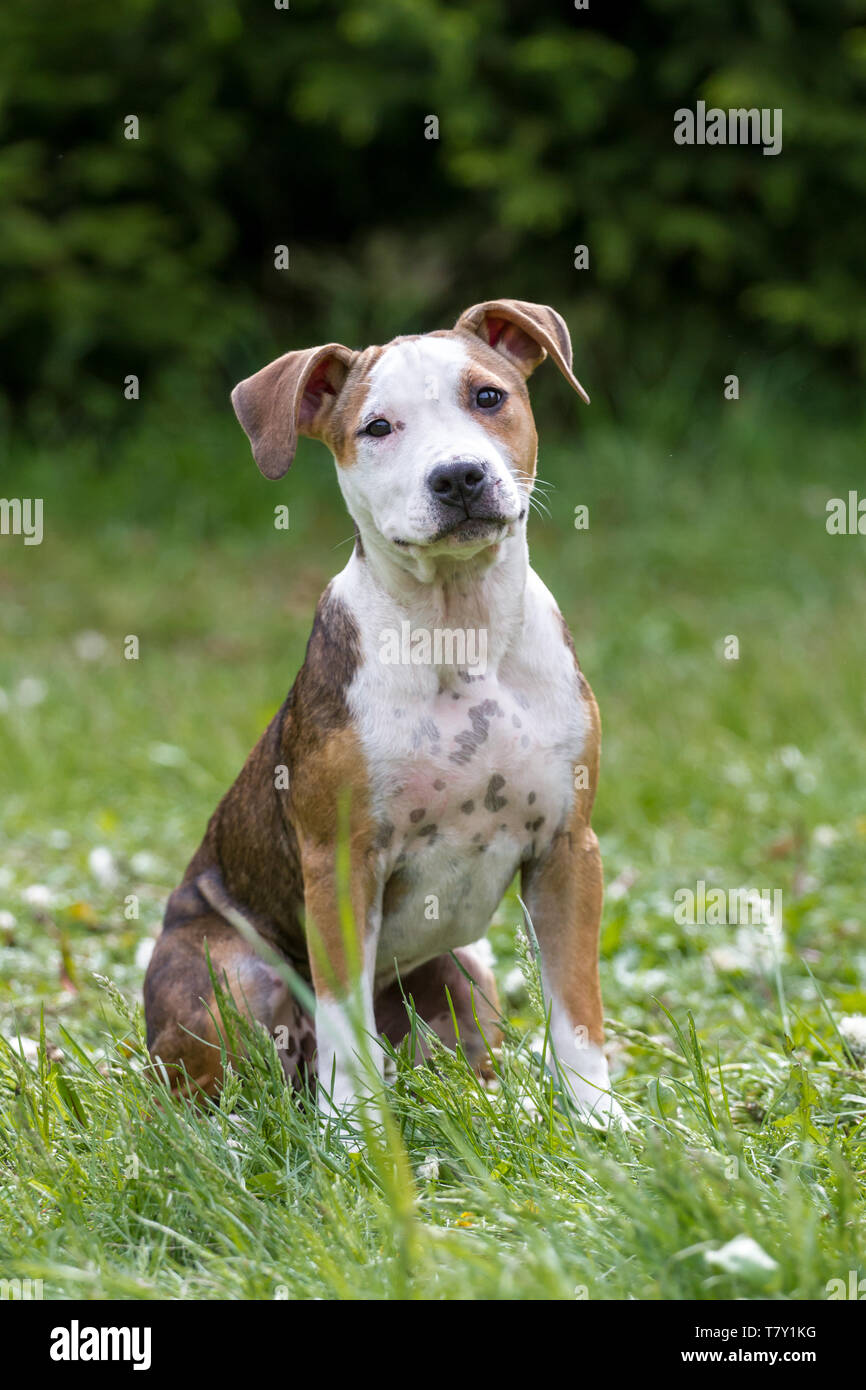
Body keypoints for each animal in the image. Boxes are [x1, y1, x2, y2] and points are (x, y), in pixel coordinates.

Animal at [145, 298, 622, 1123]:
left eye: (488, 396)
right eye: (377, 427)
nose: (459, 475)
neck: (460, 630)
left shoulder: (567, 849)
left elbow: (576, 1007)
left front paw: (603, 1120)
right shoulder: (342, 864)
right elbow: (344, 1022)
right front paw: (354, 1133)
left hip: (466, 978)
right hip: (229, 975)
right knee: (223, 1086)